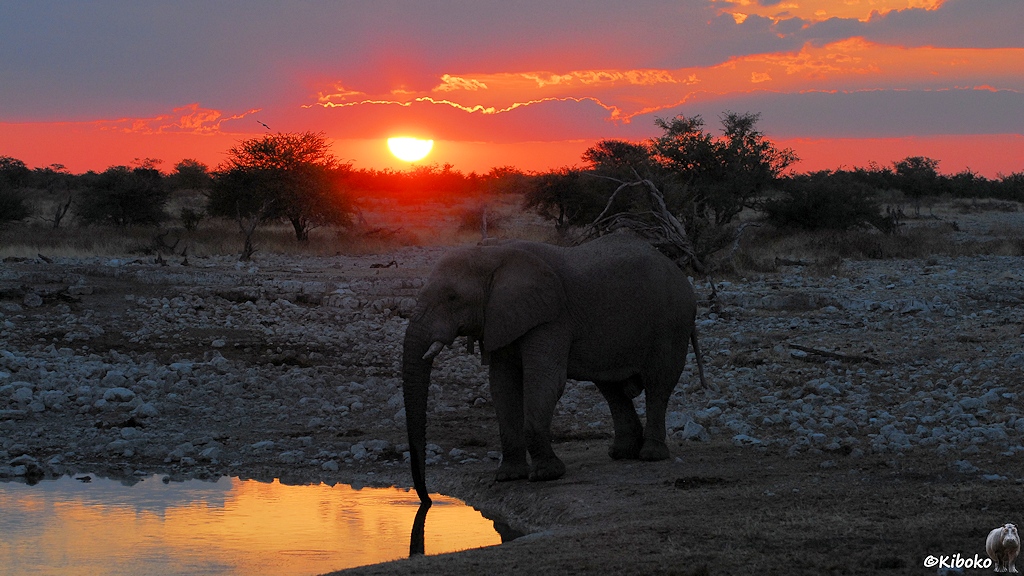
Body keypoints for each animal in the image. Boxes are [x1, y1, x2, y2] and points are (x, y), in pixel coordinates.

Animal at [401, 230, 708, 504]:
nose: (425, 500)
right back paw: (621, 453)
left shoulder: (551, 317)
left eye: (452, 297)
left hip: (672, 323)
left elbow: (545, 380)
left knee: (658, 384)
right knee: (610, 388)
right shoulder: (502, 317)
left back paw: (650, 455)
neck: (493, 254)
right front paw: (509, 477)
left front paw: (547, 475)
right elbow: (502, 385)